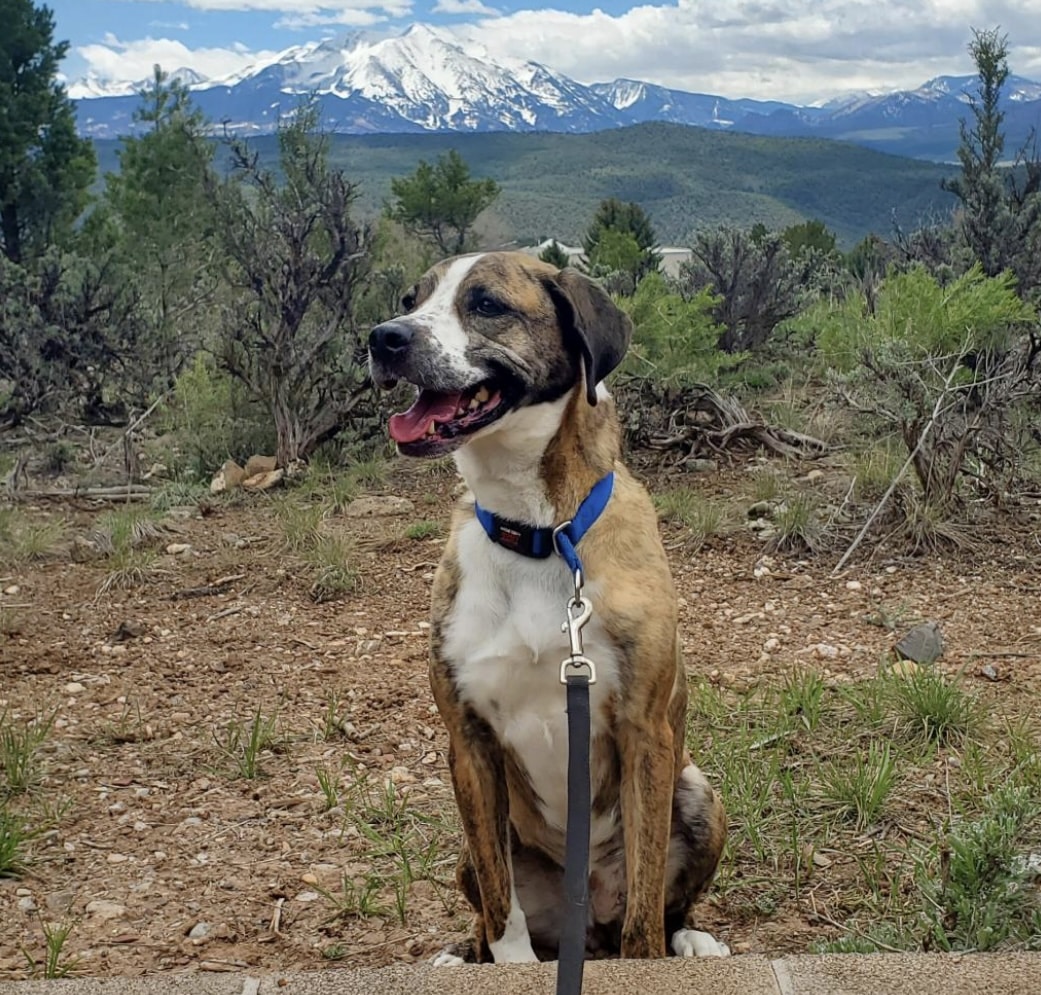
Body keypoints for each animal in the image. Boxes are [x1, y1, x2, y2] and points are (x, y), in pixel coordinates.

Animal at [370, 250, 728, 965]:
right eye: (409, 300)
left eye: (486, 304)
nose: (383, 338)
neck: (537, 533)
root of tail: (584, 921)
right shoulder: (468, 741)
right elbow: (501, 904)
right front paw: (508, 964)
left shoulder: (645, 731)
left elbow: (645, 909)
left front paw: (650, 953)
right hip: (467, 850)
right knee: (485, 899)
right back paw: (464, 953)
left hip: (699, 792)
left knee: (664, 902)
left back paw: (691, 937)